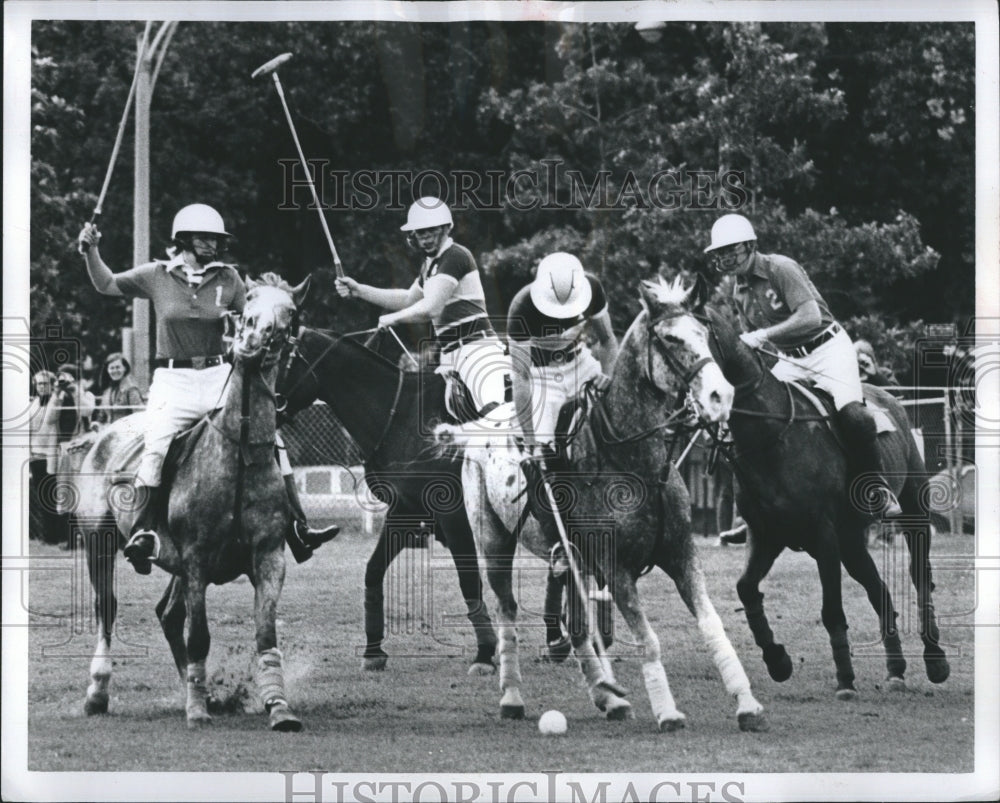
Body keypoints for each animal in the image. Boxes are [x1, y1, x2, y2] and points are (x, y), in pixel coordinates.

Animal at [73, 278, 306, 736]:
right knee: (107, 609)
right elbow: (199, 635)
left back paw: (196, 691)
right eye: (248, 306)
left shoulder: (269, 556)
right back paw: (98, 693)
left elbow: (265, 636)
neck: (238, 452)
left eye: (290, 311)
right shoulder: (197, 558)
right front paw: (197, 711)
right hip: (99, 542)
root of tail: (103, 432)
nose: (252, 341)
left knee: (167, 613)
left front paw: (278, 707)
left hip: (173, 562)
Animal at [438, 278, 764, 736]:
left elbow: (713, 625)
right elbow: (648, 639)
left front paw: (747, 703)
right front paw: (667, 712)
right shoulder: (617, 567)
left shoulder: (682, 554)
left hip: (573, 559)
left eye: (704, 333)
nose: (721, 396)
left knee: (576, 628)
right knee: (507, 610)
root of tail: (481, 423)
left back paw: (608, 697)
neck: (635, 461)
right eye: (669, 338)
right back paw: (513, 696)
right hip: (493, 541)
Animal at [700, 306, 948, 696]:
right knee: (880, 591)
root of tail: (890, 398)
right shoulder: (766, 536)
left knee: (919, 576)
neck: (771, 435)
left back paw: (935, 661)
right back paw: (895, 670)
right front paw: (778, 661)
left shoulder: (823, 534)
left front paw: (845, 679)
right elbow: (746, 588)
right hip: (852, 540)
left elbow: (832, 610)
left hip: (911, 510)